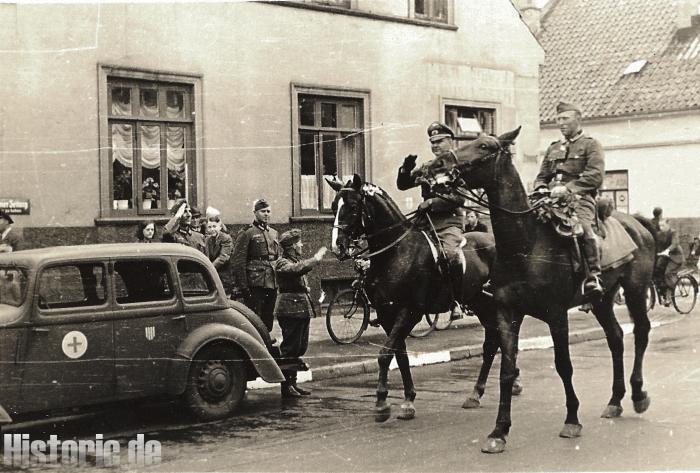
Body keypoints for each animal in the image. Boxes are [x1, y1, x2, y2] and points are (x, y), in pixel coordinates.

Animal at [324, 176, 516, 420]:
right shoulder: (387, 314)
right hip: (480, 303)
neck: (396, 252)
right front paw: (408, 400)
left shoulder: (410, 311)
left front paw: (381, 404)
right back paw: (477, 393)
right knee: (493, 342)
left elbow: (385, 354)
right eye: (333, 207)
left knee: (496, 342)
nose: (337, 246)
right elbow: (400, 356)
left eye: (353, 206)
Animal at [418, 127, 660, 452]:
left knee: (641, 333)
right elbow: (507, 370)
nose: (436, 165)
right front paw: (499, 431)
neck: (526, 245)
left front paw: (572, 421)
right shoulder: (508, 313)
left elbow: (563, 365)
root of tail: (637, 222)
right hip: (602, 299)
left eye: (484, 146)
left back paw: (638, 395)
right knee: (616, 338)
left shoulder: (557, 314)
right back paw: (614, 401)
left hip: (634, 290)